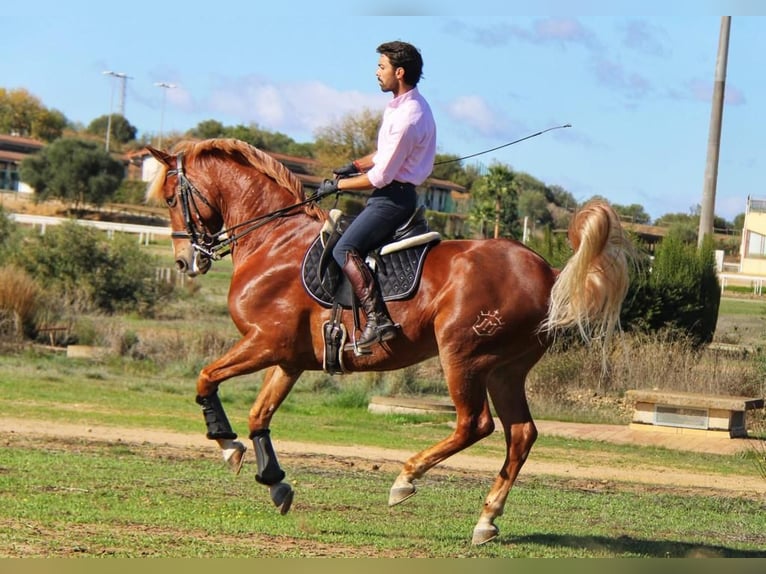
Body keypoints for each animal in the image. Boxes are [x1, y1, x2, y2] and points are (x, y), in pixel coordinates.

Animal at [147, 137, 632, 548]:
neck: (273, 242)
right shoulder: (289, 358)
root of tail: (547, 270)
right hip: (504, 370)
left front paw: (227, 445)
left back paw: (406, 479)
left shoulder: (264, 343)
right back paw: (486, 519)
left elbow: (205, 379)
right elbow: (258, 414)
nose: (185, 261)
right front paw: (275, 481)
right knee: (521, 434)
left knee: (475, 424)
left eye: (171, 198)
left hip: (464, 356)